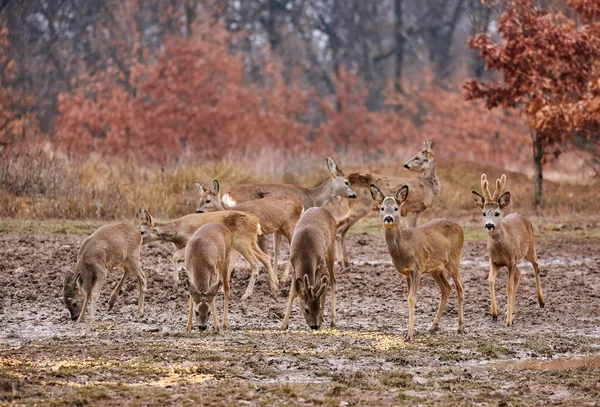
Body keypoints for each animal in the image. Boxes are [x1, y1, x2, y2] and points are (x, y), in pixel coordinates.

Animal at [138, 210, 276, 300]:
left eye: (142, 231)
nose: (137, 242)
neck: (177, 231)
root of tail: (256, 221)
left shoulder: (189, 245)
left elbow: (175, 256)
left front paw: (176, 285)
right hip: (250, 242)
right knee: (265, 258)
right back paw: (275, 290)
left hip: (242, 243)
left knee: (256, 264)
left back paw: (246, 294)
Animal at [336, 142, 438, 270]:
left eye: (417, 157)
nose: (406, 165)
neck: (427, 186)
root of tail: (349, 178)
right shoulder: (412, 210)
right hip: (359, 206)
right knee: (339, 226)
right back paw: (340, 261)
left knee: (343, 230)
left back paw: (346, 261)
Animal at [370, 185, 464, 342]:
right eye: (382, 208)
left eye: (396, 208)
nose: (388, 218)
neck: (404, 248)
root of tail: (461, 228)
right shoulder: (407, 272)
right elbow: (408, 297)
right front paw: (408, 332)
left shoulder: (417, 268)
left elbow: (412, 298)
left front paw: (410, 334)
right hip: (436, 269)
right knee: (446, 288)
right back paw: (433, 327)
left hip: (454, 259)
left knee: (460, 287)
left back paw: (460, 327)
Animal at [472, 174, 548, 326]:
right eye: (483, 213)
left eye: (497, 213)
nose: (489, 225)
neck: (501, 250)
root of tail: (521, 215)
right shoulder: (494, 261)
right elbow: (490, 280)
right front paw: (495, 314)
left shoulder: (511, 261)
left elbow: (509, 287)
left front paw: (508, 322)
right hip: (516, 259)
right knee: (519, 275)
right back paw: (510, 312)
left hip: (530, 248)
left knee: (536, 265)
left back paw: (541, 301)